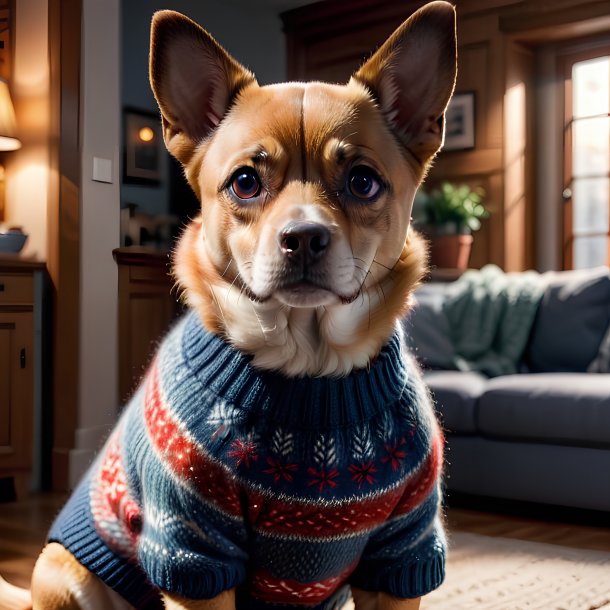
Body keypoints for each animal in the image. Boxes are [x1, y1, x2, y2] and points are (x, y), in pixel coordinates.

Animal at [1, 2, 456, 604]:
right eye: (245, 182)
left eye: (363, 182)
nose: (304, 237)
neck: (308, 367)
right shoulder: (194, 551)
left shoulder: (402, 554)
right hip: (68, 574)